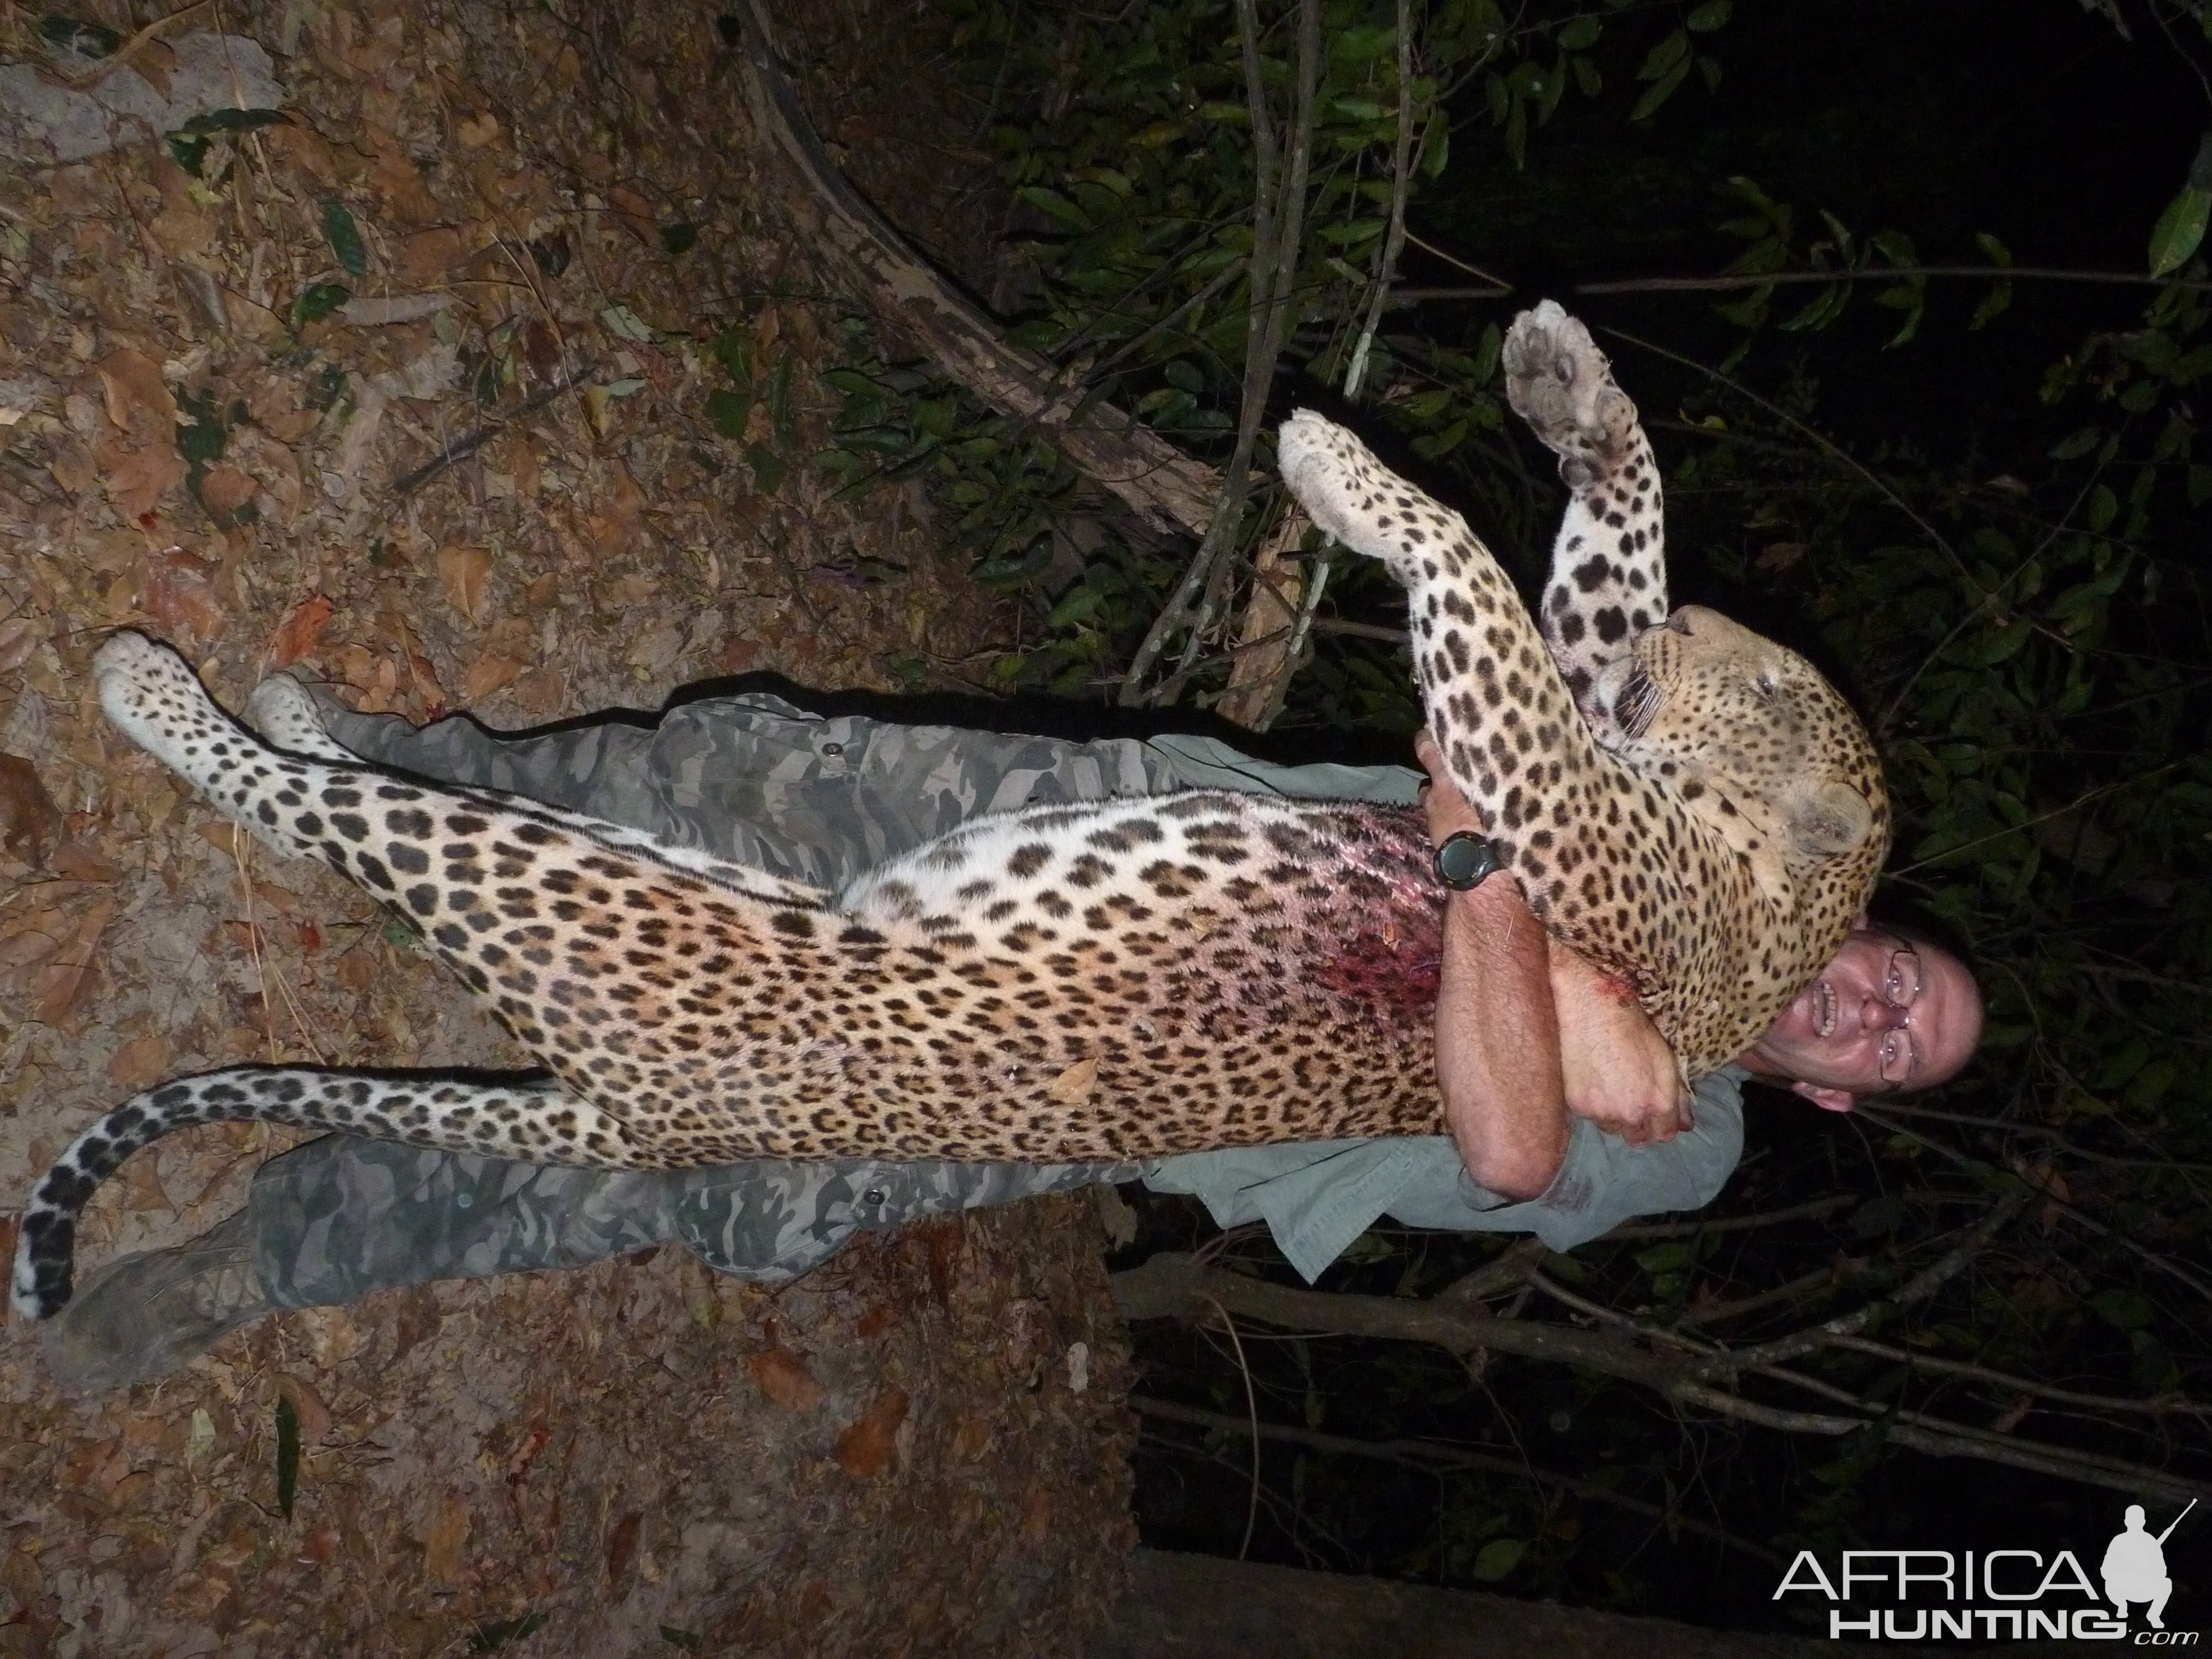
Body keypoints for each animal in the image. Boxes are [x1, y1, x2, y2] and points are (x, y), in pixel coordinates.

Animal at [8, 303, 1893, 1327]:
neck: (1755, 904)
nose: (1684, 648)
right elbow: (1585, 563)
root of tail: (644, 1121)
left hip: (600, 903)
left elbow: (1474, 585)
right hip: (690, 869)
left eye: (1757, 674)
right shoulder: (1569, 723)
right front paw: (1564, 384)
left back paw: (151, 691)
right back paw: (285, 705)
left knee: (336, 824)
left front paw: (1332, 469)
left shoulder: (1556, 811)